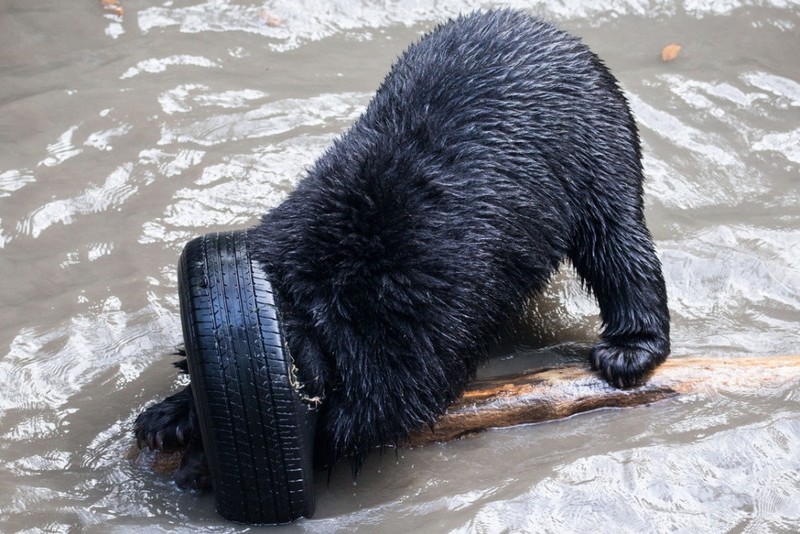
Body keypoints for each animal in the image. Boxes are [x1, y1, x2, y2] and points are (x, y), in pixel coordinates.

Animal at [136, 9, 668, 490]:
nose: (188, 477)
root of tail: (547, 28)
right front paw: (168, 417)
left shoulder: (428, 301)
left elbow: (393, 396)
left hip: (597, 149)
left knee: (618, 244)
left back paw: (628, 351)